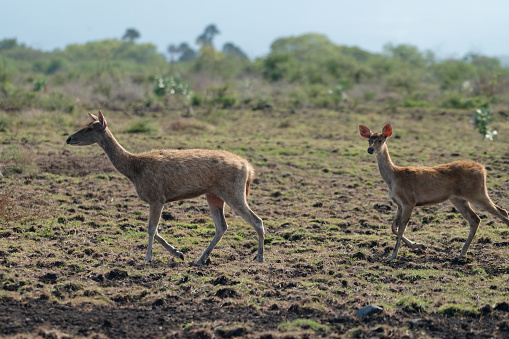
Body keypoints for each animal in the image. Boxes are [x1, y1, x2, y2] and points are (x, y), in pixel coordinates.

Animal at [65, 111, 264, 266]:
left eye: (90, 128)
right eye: (86, 125)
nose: (68, 138)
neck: (134, 170)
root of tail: (248, 168)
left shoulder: (156, 197)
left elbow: (151, 228)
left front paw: (147, 258)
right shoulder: (157, 199)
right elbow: (156, 229)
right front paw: (178, 253)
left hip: (234, 191)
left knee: (257, 220)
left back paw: (260, 257)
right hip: (213, 194)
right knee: (222, 226)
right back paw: (200, 259)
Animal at [358, 123, 508, 262]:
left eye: (380, 140)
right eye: (369, 139)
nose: (370, 149)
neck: (393, 178)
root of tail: (483, 168)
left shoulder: (409, 201)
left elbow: (401, 228)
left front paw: (393, 256)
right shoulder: (399, 203)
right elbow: (393, 227)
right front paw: (419, 245)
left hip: (477, 192)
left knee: (501, 212)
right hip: (458, 199)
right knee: (475, 219)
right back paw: (461, 253)